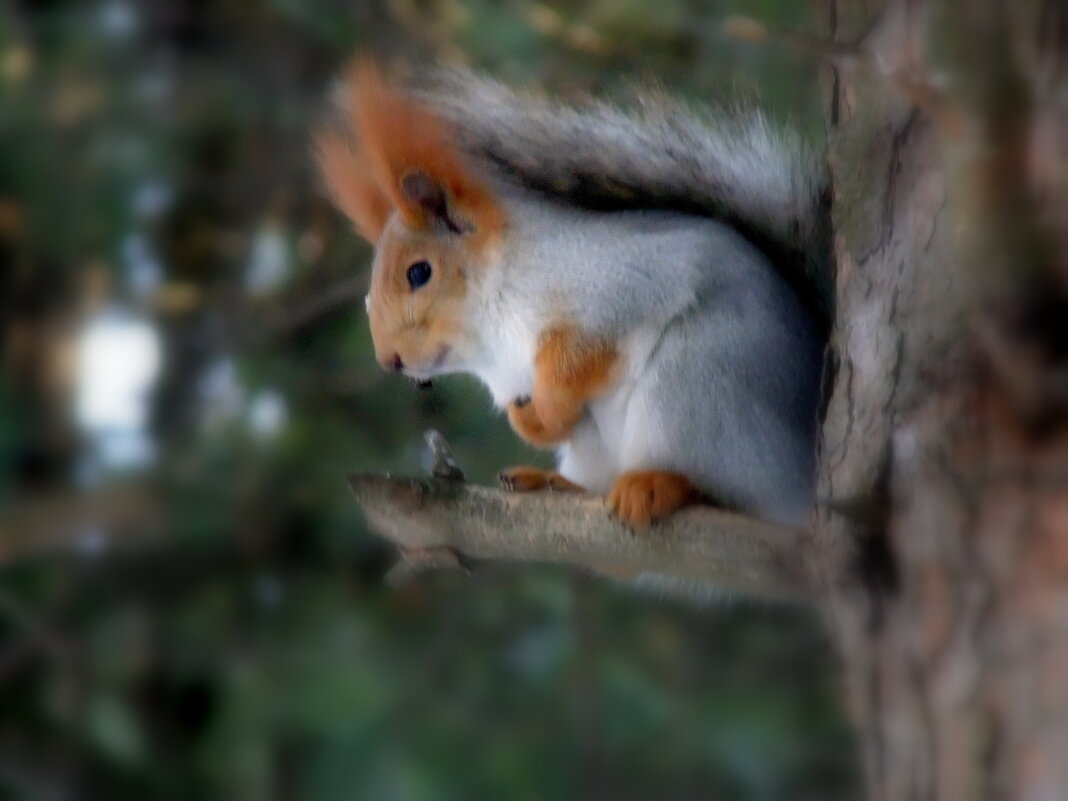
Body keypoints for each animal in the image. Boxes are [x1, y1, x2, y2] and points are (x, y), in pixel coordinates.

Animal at [311, 61, 828, 540]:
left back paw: (658, 484)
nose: (389, 360)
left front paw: (553, 403)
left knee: (727, 489)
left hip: (701, 388)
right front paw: (529, 419)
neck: (490, 337)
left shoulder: (625, 284)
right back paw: (553, 482)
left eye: (419, 272)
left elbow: (582, 353)